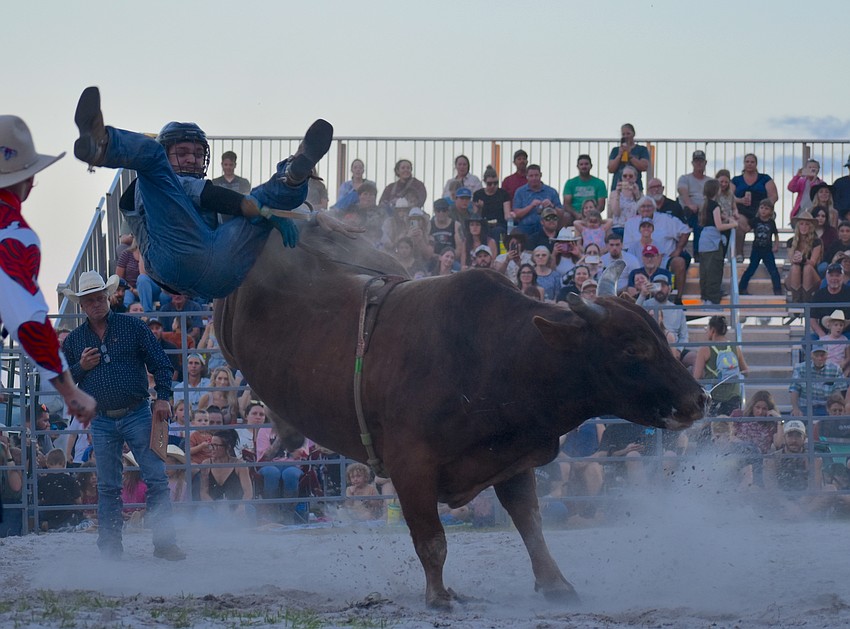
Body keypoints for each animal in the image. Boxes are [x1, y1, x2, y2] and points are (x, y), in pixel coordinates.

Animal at [215, 221, 706, 609]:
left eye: (658, 335)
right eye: (632, 348)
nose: (698, 400)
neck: (498, 353)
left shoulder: (510, 457)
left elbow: (531, 525)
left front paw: (555, 584)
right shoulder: (411, 465)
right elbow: (432, 539)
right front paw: (439, 596)